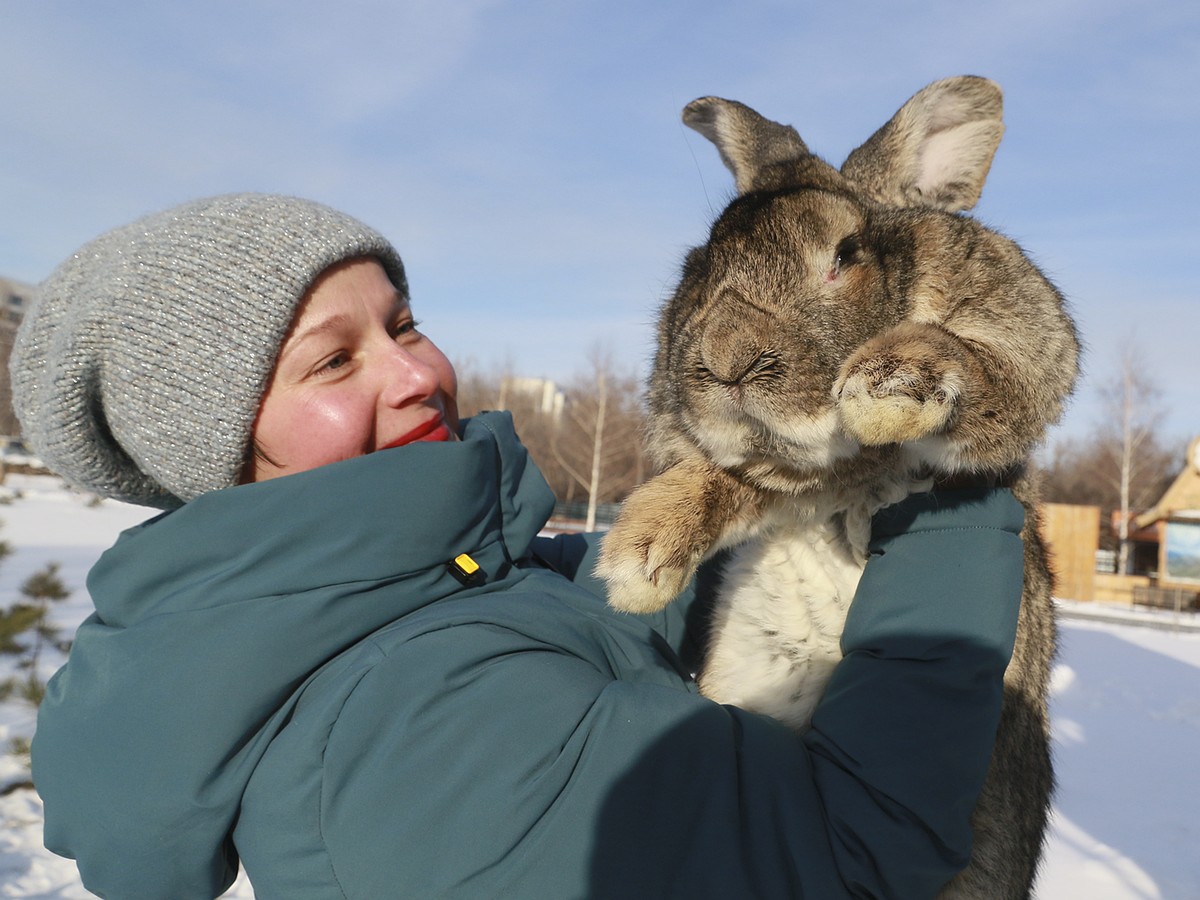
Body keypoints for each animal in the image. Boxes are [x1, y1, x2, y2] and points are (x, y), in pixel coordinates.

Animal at [600, 79, 1080, 900]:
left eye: (846, 256)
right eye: (697, 265)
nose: (725, 361)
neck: (843, 477)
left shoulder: (1021, 345)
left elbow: (983, 372)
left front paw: (891, 383)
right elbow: (736, 477)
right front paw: (641, 556)